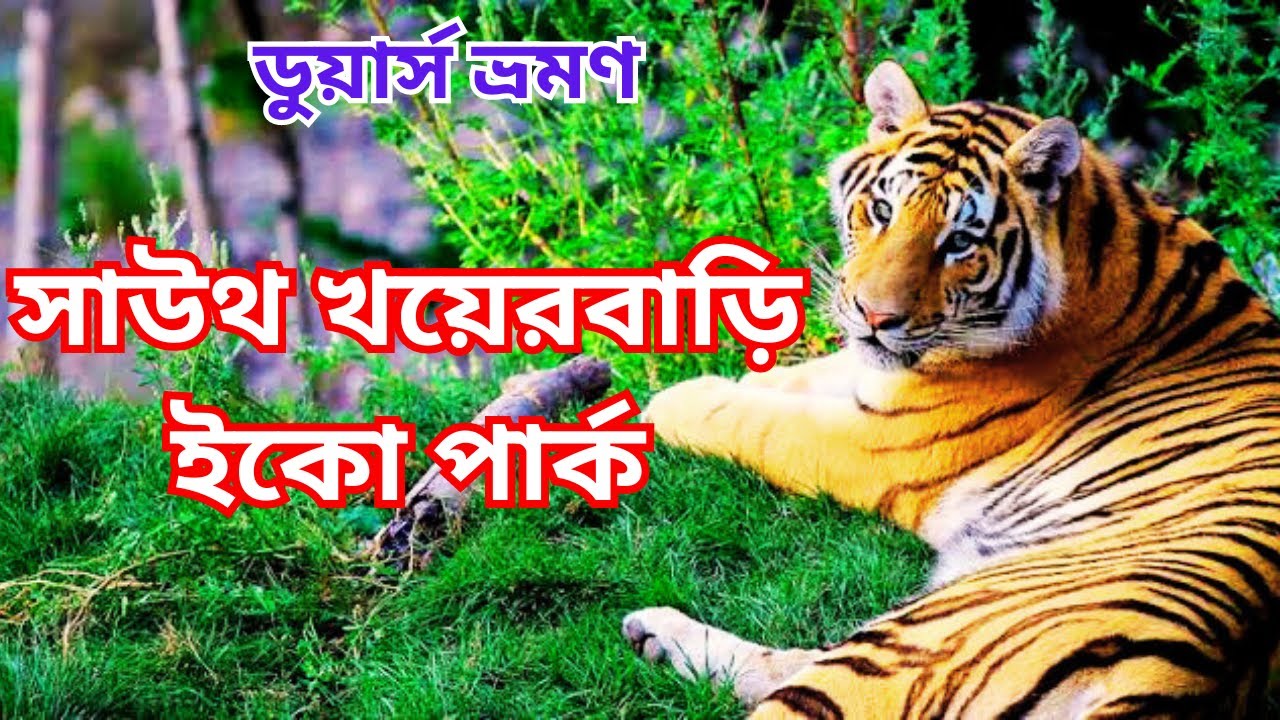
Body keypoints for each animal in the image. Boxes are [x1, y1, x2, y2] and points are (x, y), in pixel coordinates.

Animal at [622, 60, 1280, 719]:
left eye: (960, 241)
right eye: (881, 209)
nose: (874, 315)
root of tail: (1180, 685)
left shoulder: (877, 444)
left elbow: (757, 423)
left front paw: (671, 401)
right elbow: (805, 376)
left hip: (915, 641)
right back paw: (652, 634)